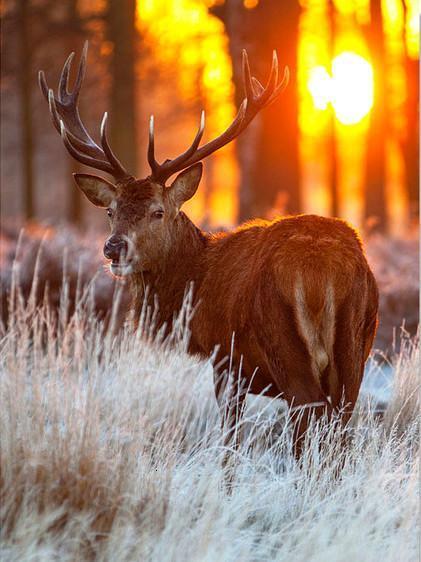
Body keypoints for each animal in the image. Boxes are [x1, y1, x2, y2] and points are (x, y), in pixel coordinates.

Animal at [41, 42, 378, 450]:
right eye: (110, 210)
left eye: (157, 212)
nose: (114, 248)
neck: (196, 284)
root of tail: (323, 268)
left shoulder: (225, 359)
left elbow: (230, 439)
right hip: (355, 346)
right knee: (342, 426)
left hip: (284, 343)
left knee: (308, 417)